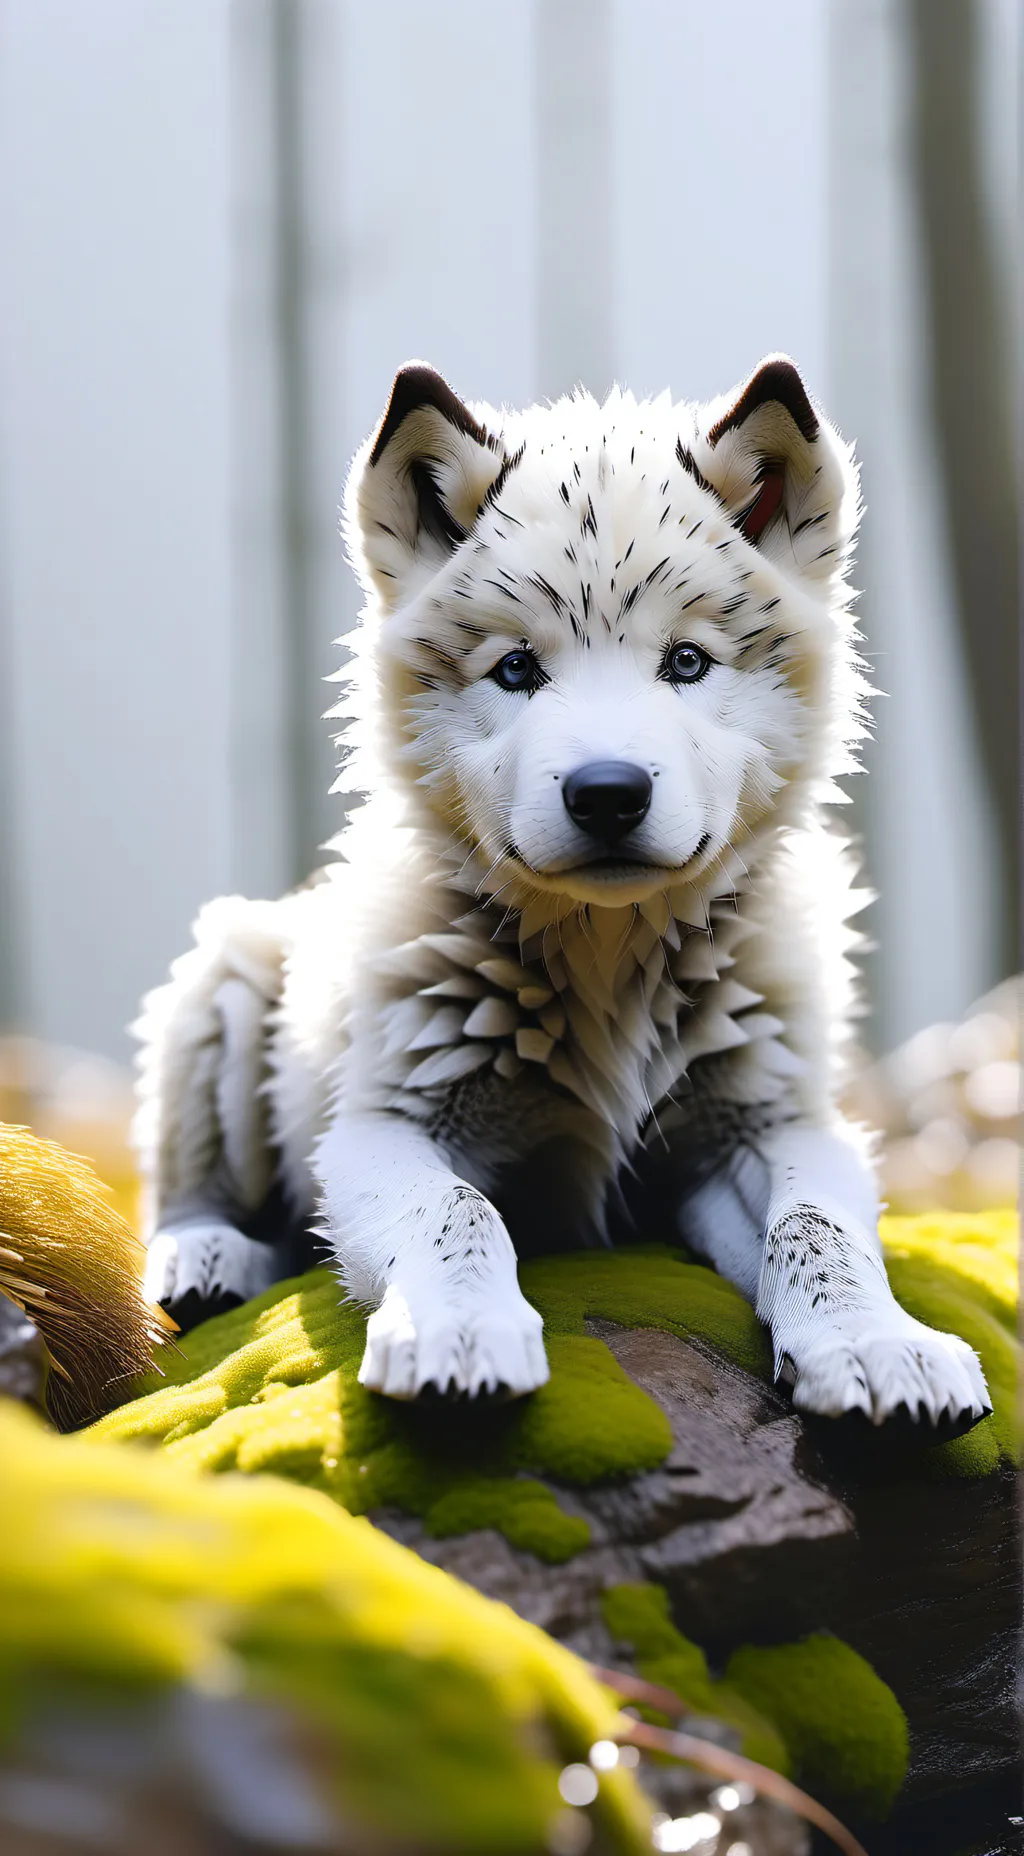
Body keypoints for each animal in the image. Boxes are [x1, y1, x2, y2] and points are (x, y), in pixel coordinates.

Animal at [136, 356, 990, 1431]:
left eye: (686, 662)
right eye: (515, 669)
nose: (608, 793)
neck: (607, 956)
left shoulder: (766, 1125)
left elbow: (816, 1224)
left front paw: (879, 1343)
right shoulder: (382, 1127)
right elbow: (457, 1210)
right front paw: (460, 1331)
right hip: (225, 976)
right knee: (191, 1196)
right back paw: (204, 1255)